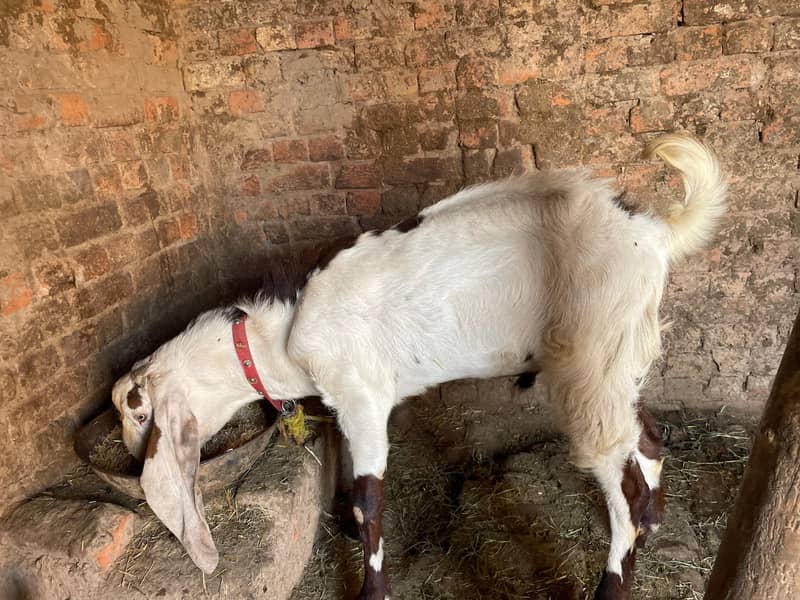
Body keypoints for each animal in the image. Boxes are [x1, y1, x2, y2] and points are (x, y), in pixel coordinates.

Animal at [111, 133, 726, 599]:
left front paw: (372, 589)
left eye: (139, 413)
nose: (131, 458)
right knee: (646, 436)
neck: (278, 336)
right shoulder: (346, 400)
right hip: (617, 355)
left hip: (592, 355)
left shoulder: (362, 396)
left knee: (622, 478)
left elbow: (369, 499)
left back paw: (617, 577)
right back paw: (653, 526)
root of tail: (653, 233)